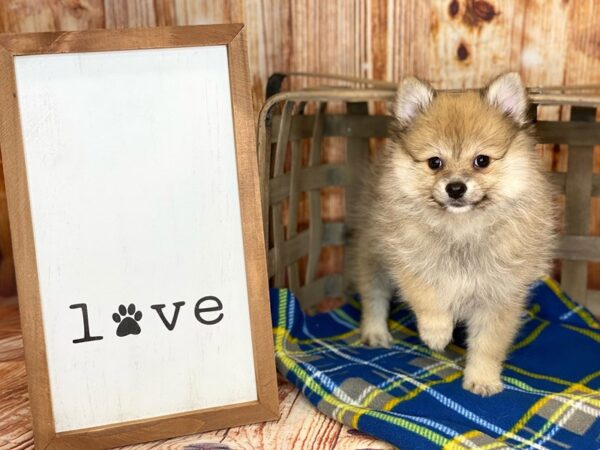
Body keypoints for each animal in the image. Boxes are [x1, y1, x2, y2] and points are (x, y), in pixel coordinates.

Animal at [354, 72, 556, 396]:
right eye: (435, 162)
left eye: (482, 160)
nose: (456, 187)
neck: (462, 229)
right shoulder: (409, 263)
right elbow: (427, 298)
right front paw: (437, 333)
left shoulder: (499, 295)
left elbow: (488, 344)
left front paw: (482, 379)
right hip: (373, 256)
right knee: (374, 296)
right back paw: (375, 333)